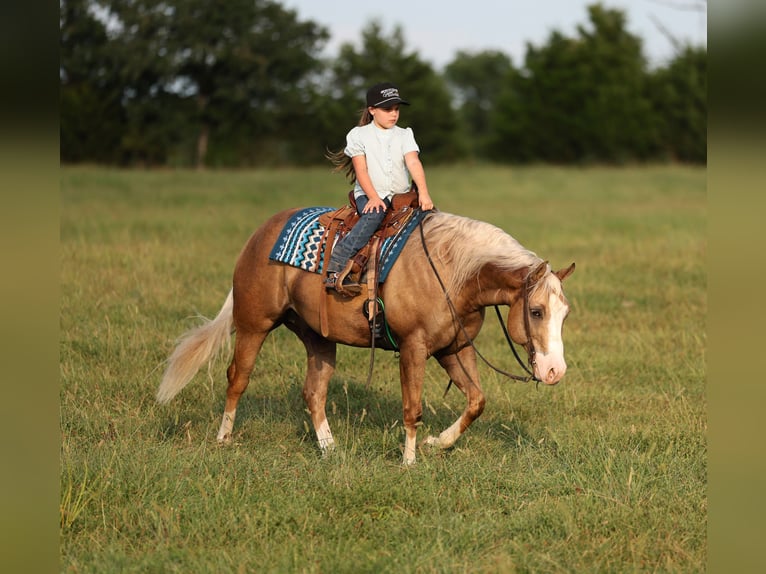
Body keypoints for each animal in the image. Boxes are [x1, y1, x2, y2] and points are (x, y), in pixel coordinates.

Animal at [157, 208, 575, 465]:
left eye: (565, 313)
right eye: (536, 311)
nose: (555, 371)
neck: (453, 271)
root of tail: (259, 235)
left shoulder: (454, 348)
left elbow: (476, 401)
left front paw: (437, 444)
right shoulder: (414, 348)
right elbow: (412, 407)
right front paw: (409, 461)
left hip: (317, 338)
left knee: (314, 392)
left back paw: (331, 449)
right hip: (253, 325)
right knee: (237, 379)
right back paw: (223, 439)